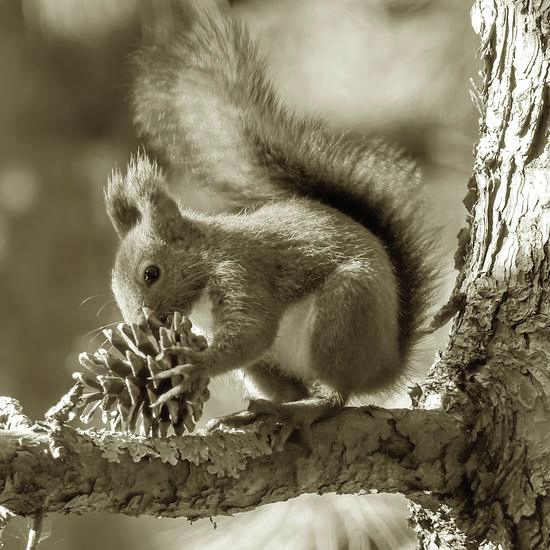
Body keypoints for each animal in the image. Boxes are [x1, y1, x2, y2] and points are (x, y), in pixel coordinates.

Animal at [105, 2, 438, 446]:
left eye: (151, 273)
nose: (140, 325)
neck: (207, 253)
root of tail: (386, 364)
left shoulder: (242, 271)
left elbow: (253, 331)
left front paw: (195, 366)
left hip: (346, 309)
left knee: (336, 394)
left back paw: (304, 410)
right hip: (270, 365)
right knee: (290, 386)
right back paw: (260, 411)